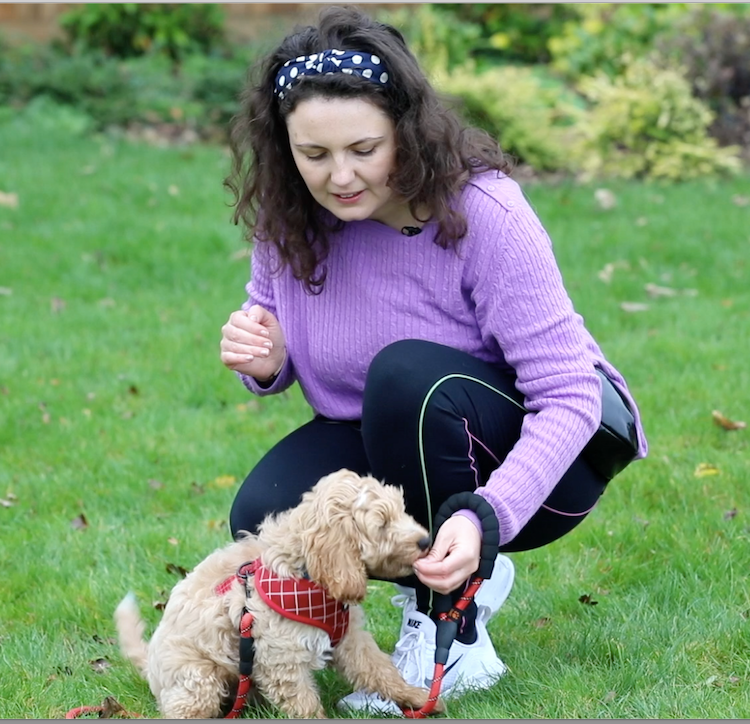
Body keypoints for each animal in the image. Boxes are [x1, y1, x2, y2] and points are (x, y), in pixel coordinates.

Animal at [114, 470, 438, 720]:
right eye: (382, 524)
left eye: (402, 511)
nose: (426, 541)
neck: (306, 574)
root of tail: (151, 667)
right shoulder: (281, 659)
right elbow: (305, 705)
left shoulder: (351, 639)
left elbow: (380, 669)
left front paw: (418, 698)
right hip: (198, 678)